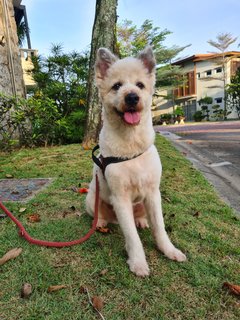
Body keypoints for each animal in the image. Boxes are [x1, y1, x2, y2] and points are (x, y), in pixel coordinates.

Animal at [85, 46, 187, 276]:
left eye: (140, 85)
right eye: (117, 86)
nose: (132, 97)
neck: (130, 144)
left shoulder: (153, 193)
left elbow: (160, 227)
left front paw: (169, 250)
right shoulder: (120, 198)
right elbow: (132, 237)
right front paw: (138, 262)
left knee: (142, 218)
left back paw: (141, 221)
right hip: (91, 199)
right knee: (99, 215)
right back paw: (101, 222)